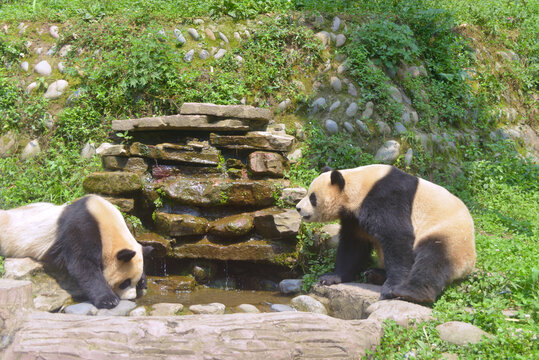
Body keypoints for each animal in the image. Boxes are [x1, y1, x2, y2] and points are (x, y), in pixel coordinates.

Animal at [0, 195, 152, 308]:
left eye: (135, 281)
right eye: (125, 282)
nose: (131, 298)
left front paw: (143, 281)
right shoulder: (80, 227)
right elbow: (82, 265)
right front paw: (109, 300)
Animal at [296, 165, 476, 302]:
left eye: (312, 197)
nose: (298, 208)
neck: (359, 185)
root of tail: (468, 266)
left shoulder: (386, 198)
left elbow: (397, 237)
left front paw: (390, 289)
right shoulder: (354, 218)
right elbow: (353, 246)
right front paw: (330, 277)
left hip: (449, 234)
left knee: (433, 260)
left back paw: (411, 293)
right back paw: (374, 274)